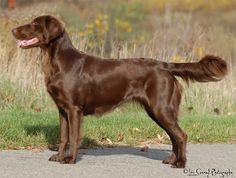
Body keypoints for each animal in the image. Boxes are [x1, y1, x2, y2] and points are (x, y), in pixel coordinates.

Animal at [12, 15, 228, 167]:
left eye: (34, 24)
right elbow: (64, 136)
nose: (13, 29)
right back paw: (171, 160)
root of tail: (165, 66)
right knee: (174, 136)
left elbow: (74, 137)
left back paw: (180, 164)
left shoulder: (74, 109)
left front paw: (70, 159)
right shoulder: (62, 109)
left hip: (160, 108)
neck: (58, 62)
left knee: (181, 135)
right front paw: (58, 157)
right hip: (158, 110)